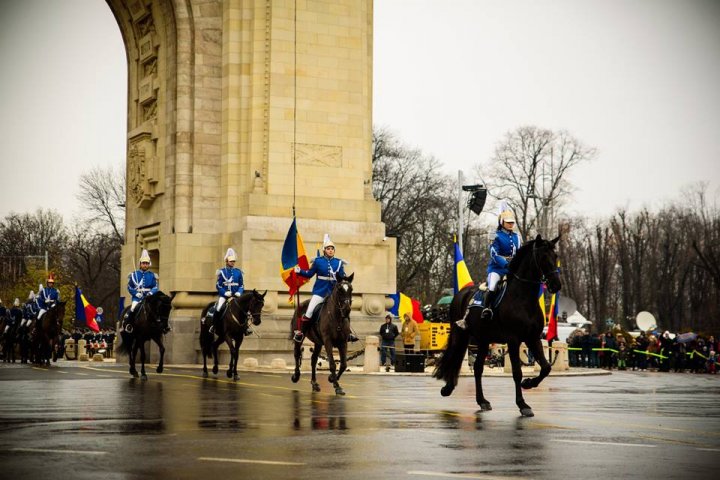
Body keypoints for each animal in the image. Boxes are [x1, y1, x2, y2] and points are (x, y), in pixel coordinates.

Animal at [434, 233, 564, 416]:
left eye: (556, 256)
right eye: (543, 257)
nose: (556, 285)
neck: (523, 298)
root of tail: (461, 293)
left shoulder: (533, 338)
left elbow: (546, 367)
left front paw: (528, 383)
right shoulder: (513, 340)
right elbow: (517, 372)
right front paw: (523, 404)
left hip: (483, 340)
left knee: (478, 368)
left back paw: (482, 401)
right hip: (461, 335)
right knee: (456, 357)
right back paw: (448, 388)